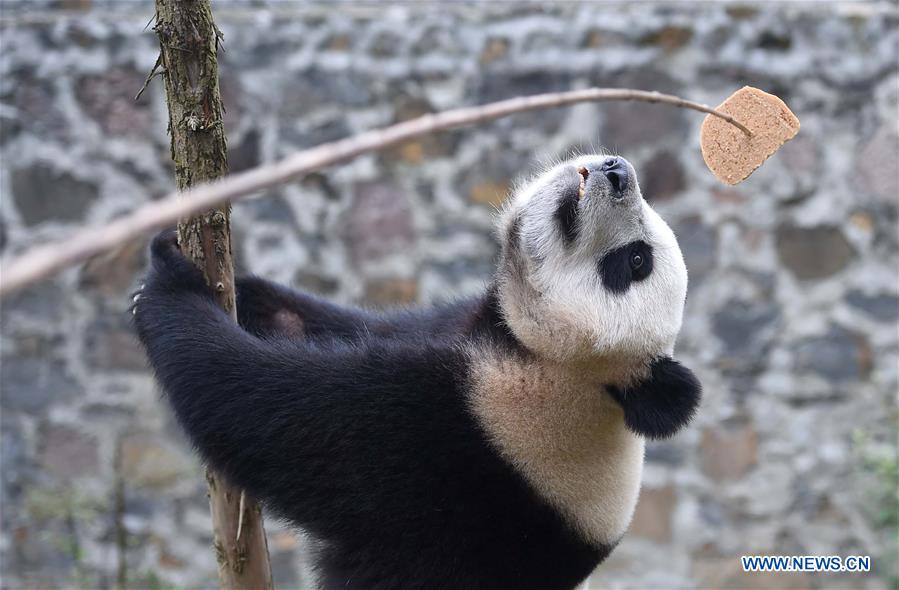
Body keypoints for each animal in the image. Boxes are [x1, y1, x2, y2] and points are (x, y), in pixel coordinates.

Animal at [132, 154, 701, 590]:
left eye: (635, 261)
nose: (618, 171)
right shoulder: (450, 330)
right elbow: (337, 328)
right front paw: (241, 290)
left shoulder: (479, 435)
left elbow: (271, 412)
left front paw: (166, 286)